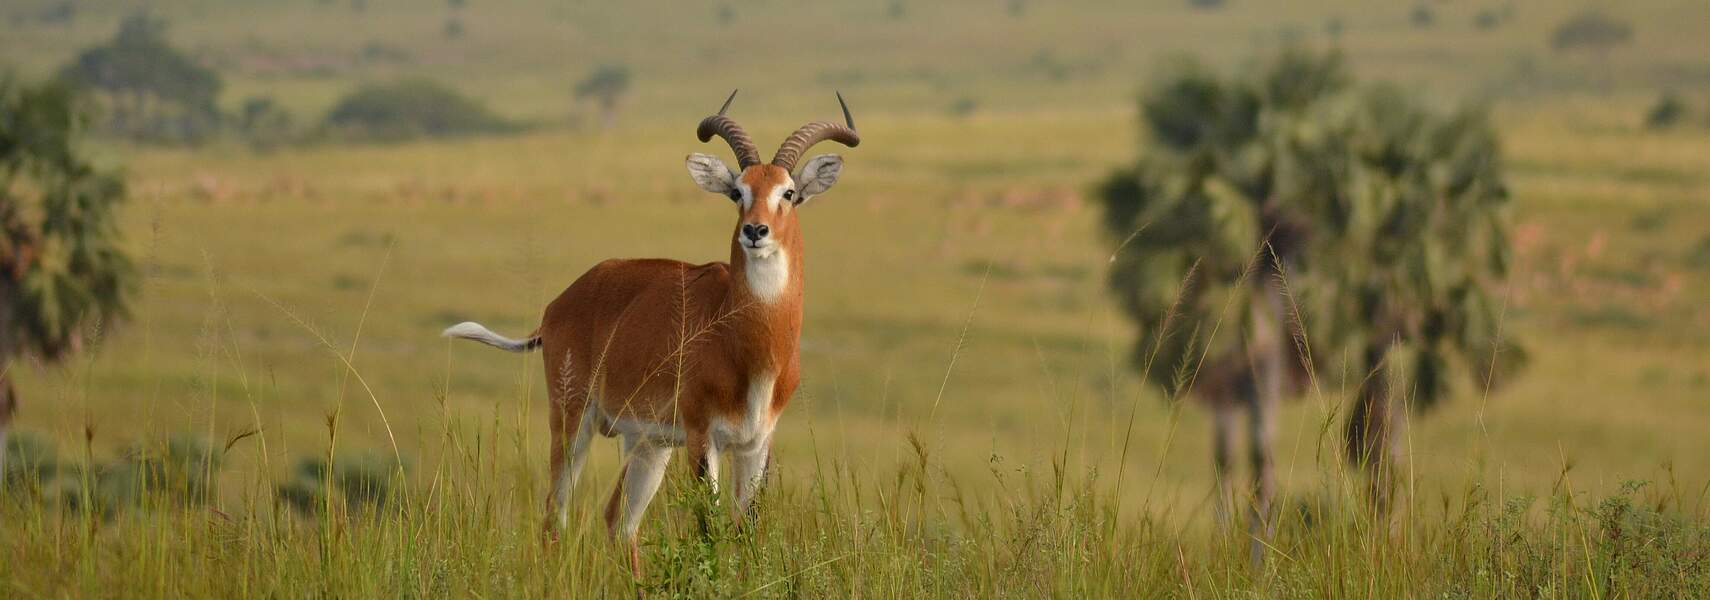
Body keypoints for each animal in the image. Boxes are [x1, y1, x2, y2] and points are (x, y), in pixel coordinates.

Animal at [448, 91, 861, 574]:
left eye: (789, 192)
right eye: (737, 191)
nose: (755, 230)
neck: (747, 344)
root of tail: (559, 304)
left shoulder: (757, 443)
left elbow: (747, 533)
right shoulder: (704, 437)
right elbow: (708, 529)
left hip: (649, 444)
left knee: (619, 520)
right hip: (574, 422)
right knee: (556, 513)